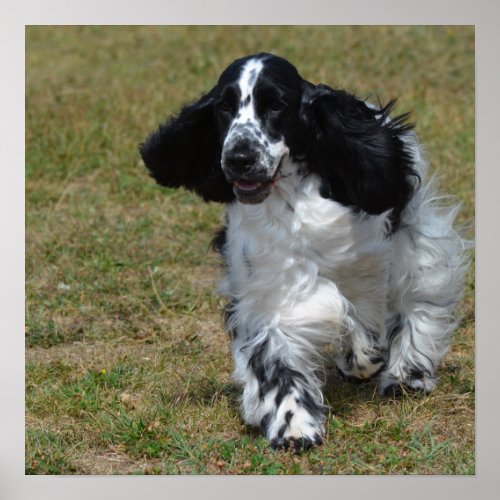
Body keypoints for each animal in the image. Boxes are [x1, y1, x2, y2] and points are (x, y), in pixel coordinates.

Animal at [141, 52, 468, 452]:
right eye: (224, 106)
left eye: (276, 105)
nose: (238, 157)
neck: (292, 201)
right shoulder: (268, 293)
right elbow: (275, 358)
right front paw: (293, 424)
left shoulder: (369, 263)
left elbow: (369, 322)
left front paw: (373, 360)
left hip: (413, 239)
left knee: (418, 300)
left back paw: (406, 375)